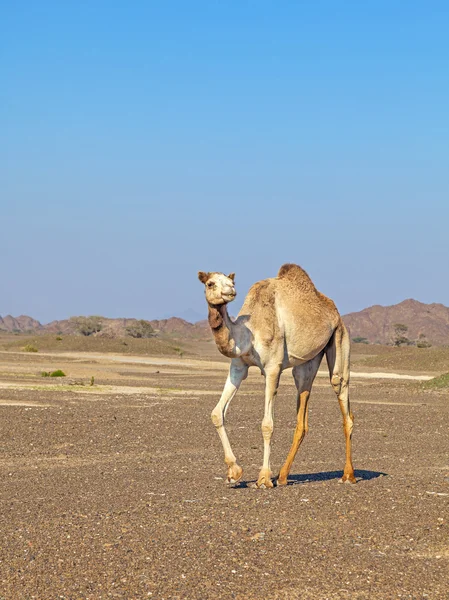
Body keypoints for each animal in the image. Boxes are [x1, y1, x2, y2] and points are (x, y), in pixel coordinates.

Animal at [198, 264, 356, 490]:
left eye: (231, 282)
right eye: (210, 283)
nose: (230, 291)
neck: (249, 332)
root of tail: (335, 312)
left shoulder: (273, 368)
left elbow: (267, 424)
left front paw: (263, 478)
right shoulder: (238, 366)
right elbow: (217, 413)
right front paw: (233, 472)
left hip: (340, 336)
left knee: (341, 389)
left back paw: (348, 475)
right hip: (308, 361)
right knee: (303, 399)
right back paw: (282, 476)